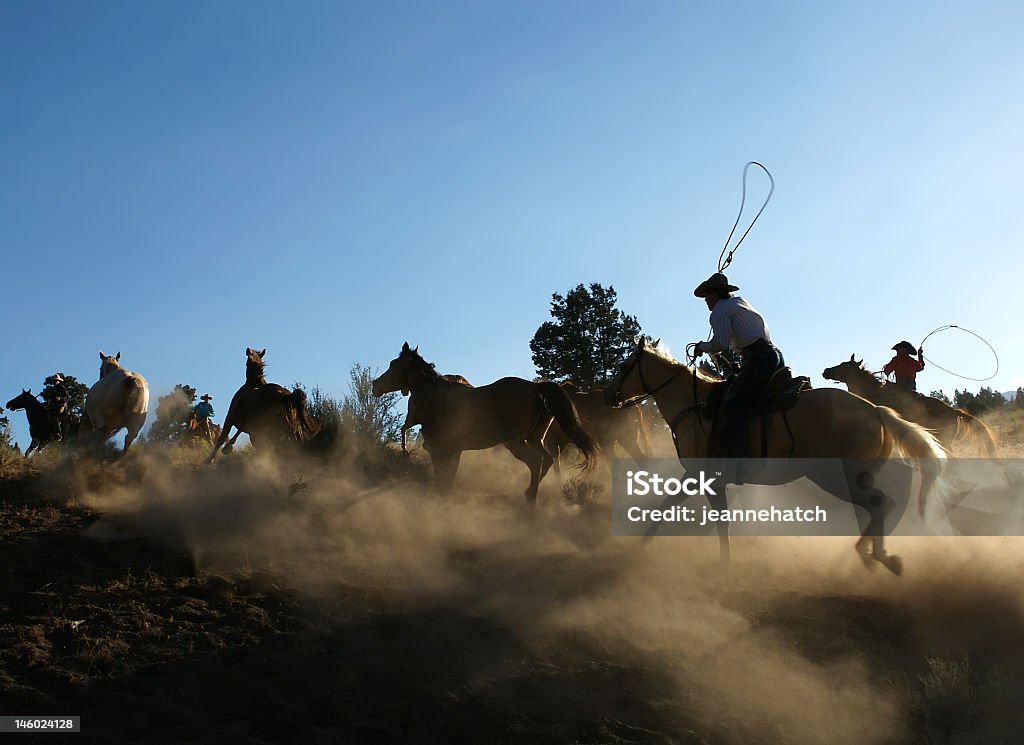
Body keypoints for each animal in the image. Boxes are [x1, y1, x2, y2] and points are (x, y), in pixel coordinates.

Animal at [370, 343, 598, 501]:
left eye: (393, 365)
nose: (375, 385)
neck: (436, 399)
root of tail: (536, 388)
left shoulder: (442, 450)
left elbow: (443, 481)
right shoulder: (452, 451)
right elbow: (447, 480)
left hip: (515, 442)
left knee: (536, 462)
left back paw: (530, 498)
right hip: (534, 439)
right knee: (547, 460)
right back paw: (529, 494)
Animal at [602, 337, 946, 577]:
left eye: (623, 366)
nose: (607, 395)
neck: (695, 406)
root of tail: (875, 410)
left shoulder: (702, 476)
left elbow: (676, 509)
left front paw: (645, 546)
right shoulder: (711, 480)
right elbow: (711, 517)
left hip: (837, 477)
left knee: (879, 504)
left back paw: (870, 555)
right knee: (881, 507)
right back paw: (873, 556)